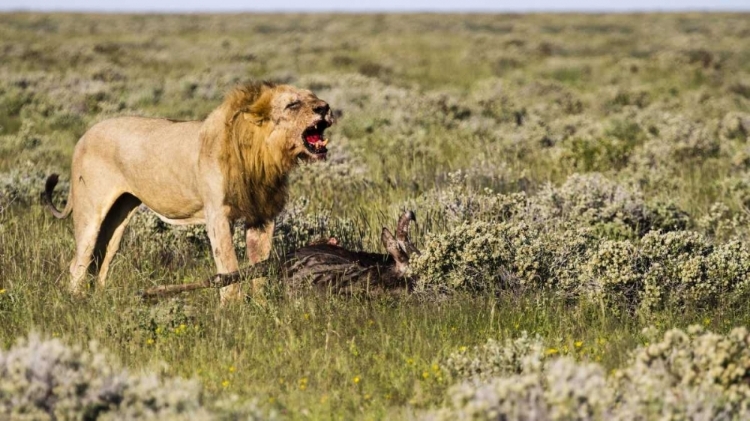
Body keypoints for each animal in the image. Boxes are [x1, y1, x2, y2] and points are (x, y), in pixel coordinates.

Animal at [43, 80, 332, 300]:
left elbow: (260, 265)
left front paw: (260, 306)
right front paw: (232, 310)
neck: (263, 155)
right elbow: (228, 265)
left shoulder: (262, 217)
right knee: (79, 263)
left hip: (119, 215)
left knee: (102, 260)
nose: (326, 107)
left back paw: (100, 301)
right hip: (90, 211)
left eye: (313, 97)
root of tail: (84, 135)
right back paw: (77, 302)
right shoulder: (217, 215)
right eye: (293, 104)